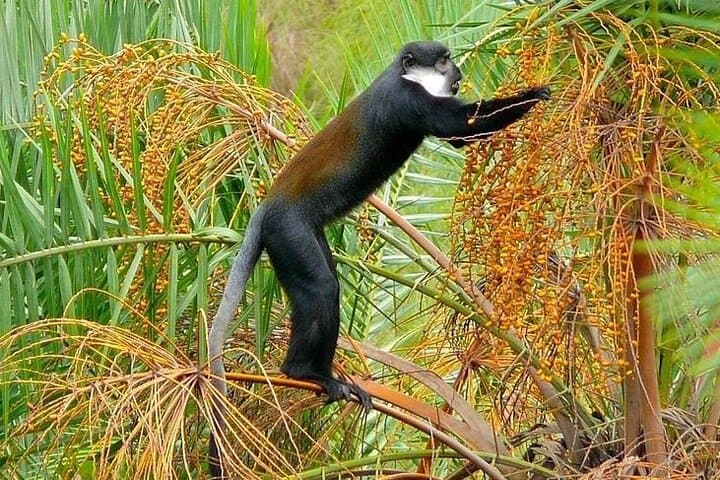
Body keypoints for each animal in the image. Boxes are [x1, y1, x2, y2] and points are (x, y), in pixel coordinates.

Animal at [208, 40, 550, 477]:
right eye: (441, 60)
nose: (455, 69)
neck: (403, 76)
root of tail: (268, 207)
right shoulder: (409, 100)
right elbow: (459, 129)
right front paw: (538, 92)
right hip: (290, 233)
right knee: (322, 288)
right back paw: (304, 372)